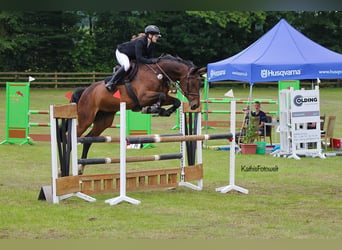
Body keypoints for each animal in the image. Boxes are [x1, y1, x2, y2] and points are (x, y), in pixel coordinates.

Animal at [70, 53, 206, 175]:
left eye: (200, 84)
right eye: (192, 83)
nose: (195, 105)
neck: (159, 74)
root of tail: (86, 90)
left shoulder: (163, 96)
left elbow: (175, 101)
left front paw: (163, 111)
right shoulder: (143, 97)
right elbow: (161, 96)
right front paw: (153, 109)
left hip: (104, 121)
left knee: (88, 139)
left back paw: (80, 168)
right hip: (86, 119)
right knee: (73, 136)